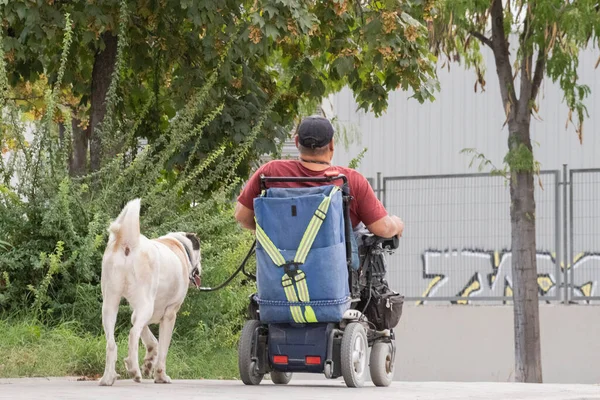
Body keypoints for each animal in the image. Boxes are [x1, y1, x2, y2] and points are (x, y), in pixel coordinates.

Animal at [98, 198, 202, 386]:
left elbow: (152, 341)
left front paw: (148, 363)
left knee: (111, 343)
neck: (178, 245)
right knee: (133, 334)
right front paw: (160, 376)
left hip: (111, 305)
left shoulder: (137, 311)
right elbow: (163, 349)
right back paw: (134, 369)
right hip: (146, 306)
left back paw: (108, 378)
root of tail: (128, 243)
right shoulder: (170, 314)